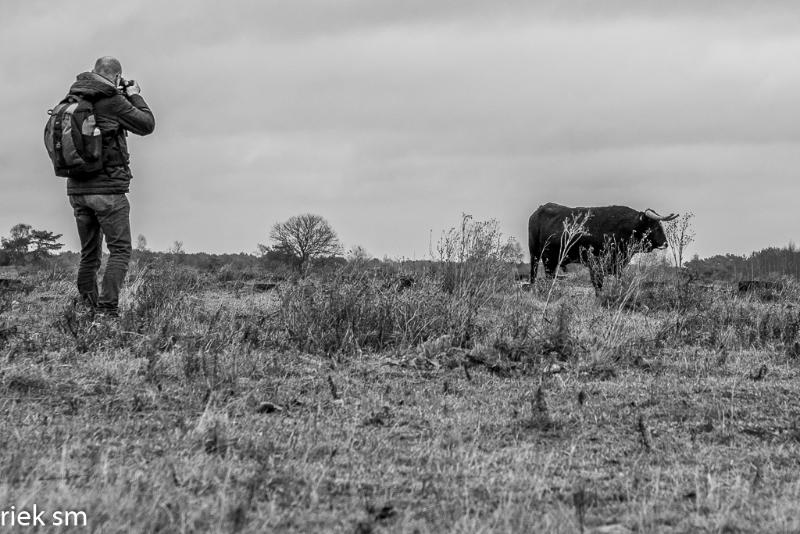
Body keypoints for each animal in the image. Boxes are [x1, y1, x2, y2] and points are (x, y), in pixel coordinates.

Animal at [528, 203, 680, 292]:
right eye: (654, 226)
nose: (665, 243)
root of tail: (539, 209)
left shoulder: (617, 265)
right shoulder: (595, 263)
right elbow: (598, 284)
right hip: (536, 254)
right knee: (535, 273)